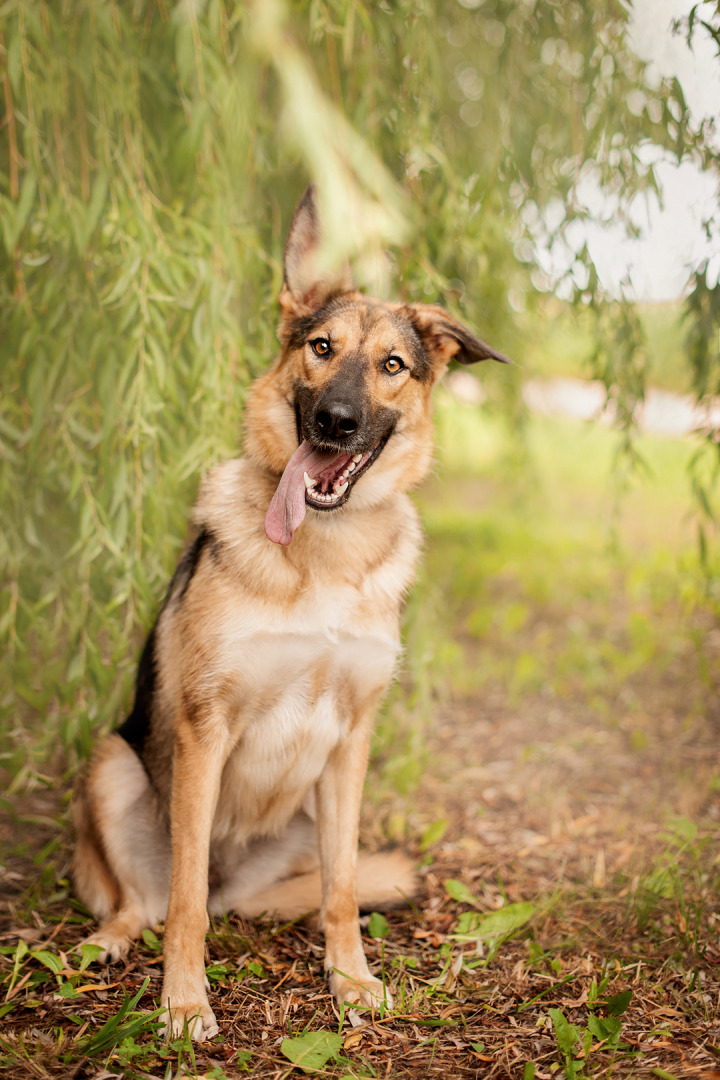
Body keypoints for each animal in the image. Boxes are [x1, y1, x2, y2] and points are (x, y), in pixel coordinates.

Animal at [73, 185, 509, 1036]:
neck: (325, 552)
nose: (334, 421)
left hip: (301, 819)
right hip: (113, 766)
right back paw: (109, 941)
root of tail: (235, 890)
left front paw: (351, 980)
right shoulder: (206, 728)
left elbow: (341, 890)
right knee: (147, 901)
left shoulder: (351, 744)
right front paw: (184, 1003)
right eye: (321, 348)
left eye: (392, 365)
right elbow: (182, 905)